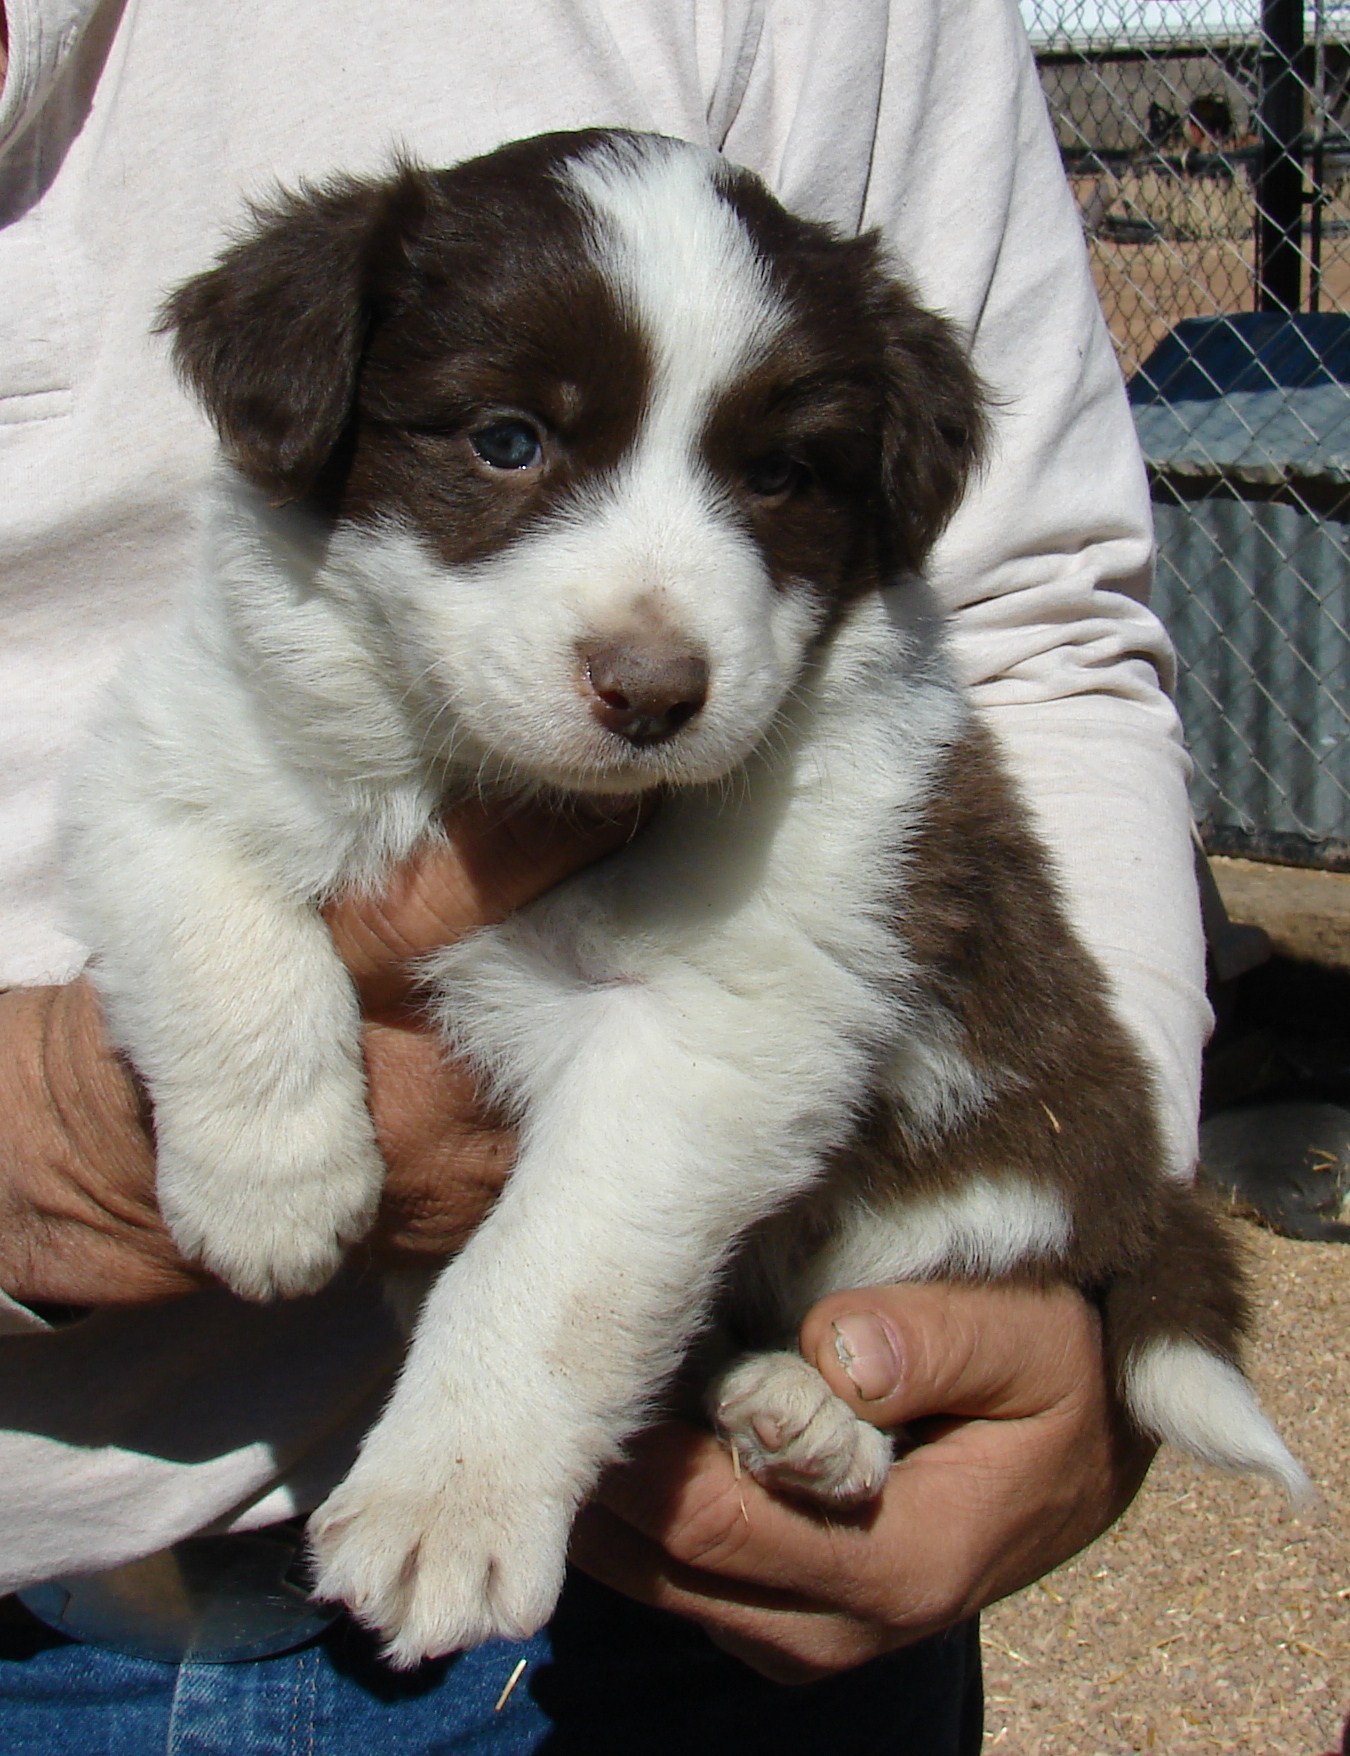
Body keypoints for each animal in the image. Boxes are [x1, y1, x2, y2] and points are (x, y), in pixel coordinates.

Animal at [63, 129, 1306, 1664]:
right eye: (507, 440)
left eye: (777, 473)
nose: (654, 693)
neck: (501, 786)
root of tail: (1138, 1190)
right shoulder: (171, 752)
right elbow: (212, 924)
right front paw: (272, 1189)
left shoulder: (725, 1030)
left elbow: (553, 1271)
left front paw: (446, 1502)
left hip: (990, 1172)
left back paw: (820, 1417)